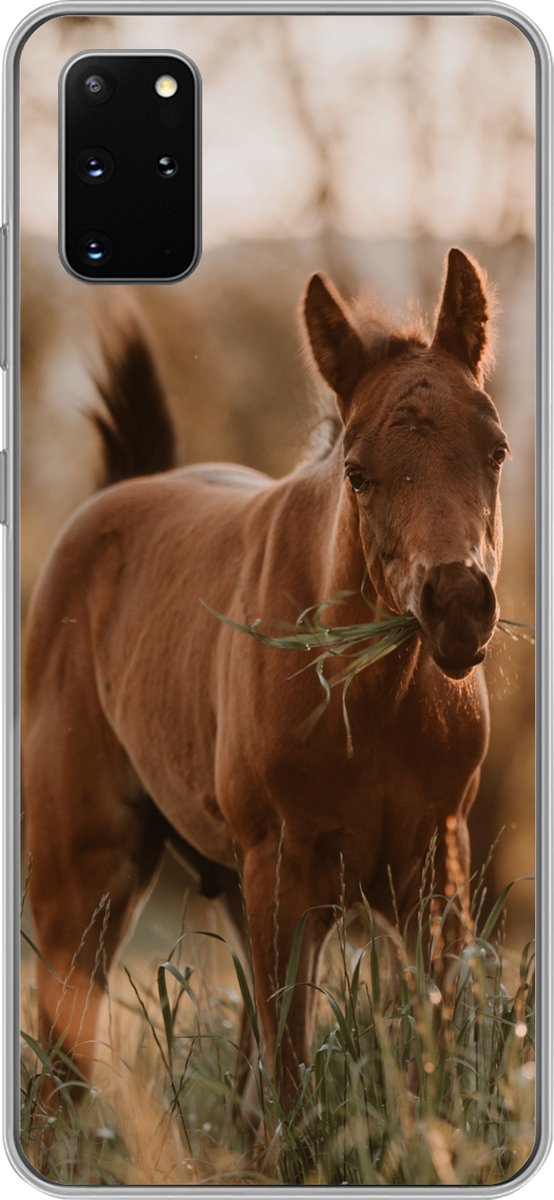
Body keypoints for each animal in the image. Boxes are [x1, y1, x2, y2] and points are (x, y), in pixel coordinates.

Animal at [23, 247, 507, 1113]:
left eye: (497, 450)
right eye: (358, 473)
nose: (457, 605)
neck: (372, 709)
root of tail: (115, 496)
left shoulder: (434, 880)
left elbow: (436, 1063)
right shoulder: (287, 878)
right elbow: (292, 1085)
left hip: (236, 894)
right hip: (83, 883)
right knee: (60, 1081)